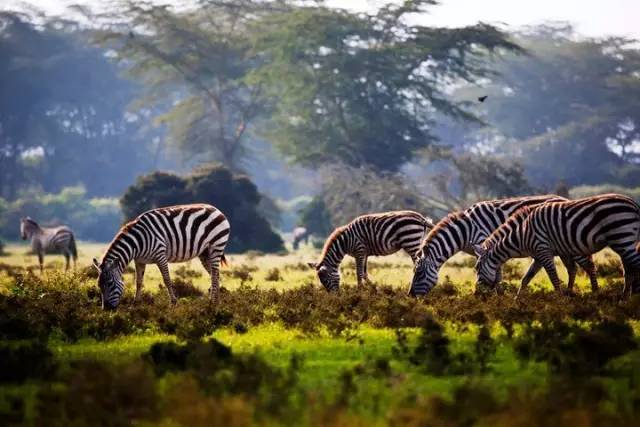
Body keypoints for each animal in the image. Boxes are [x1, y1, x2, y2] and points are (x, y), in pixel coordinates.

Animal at [90, 205, 230, 310]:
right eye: (98, 285)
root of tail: (216, 209)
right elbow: (138, 282)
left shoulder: (160, 255)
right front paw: (135, 304)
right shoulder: (139, 260)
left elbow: (167, 279)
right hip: (205, 252)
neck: (137, 243)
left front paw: (173, 302)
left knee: (215, 275)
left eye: (109, 283)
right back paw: (215, 303)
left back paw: (213, 303)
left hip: (216, 246)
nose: (106, 309)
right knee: (215, 275)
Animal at [410, 195, 600, 298]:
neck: (466, 231)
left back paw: (594, 294)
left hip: (571, 243)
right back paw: (569, 293)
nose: (410, 296)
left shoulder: (486, 244)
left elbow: (496, 275)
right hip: (563, 248)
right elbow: (494, 274)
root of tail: (564, 198)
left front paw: (498, 298)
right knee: (572, 268)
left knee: (588, 266)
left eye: (419, 274)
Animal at [476, 194, 640, 298]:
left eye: (477, 268)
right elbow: (525, 279)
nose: (476, 294)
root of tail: (634, 204)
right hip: (623, 242)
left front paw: (559, 302)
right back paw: (622, 298)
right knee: (628, 270)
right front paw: (516, 302)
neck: (522, 234)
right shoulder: (538, 256)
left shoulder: (543, 250)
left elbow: (554, 279)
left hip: (621, 238)